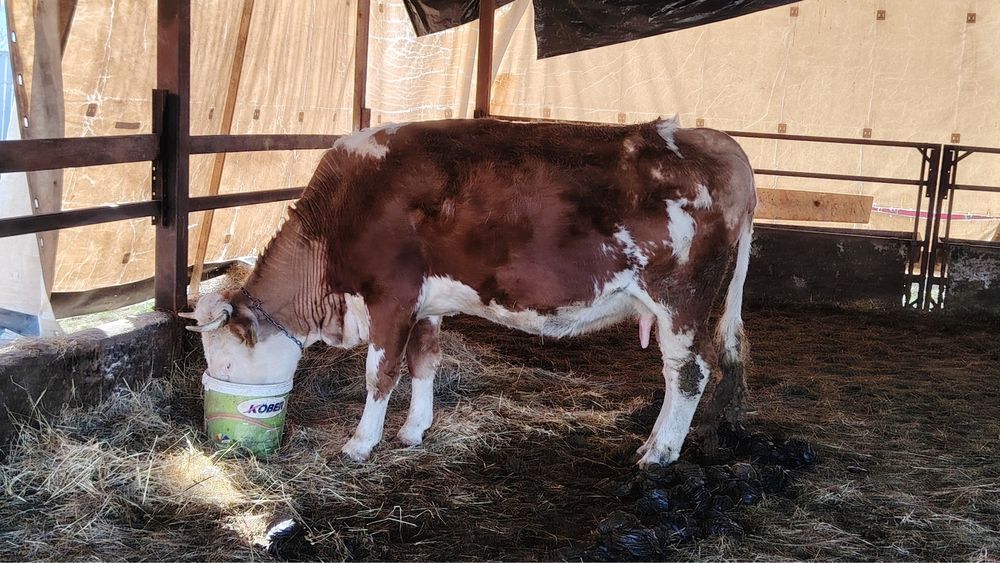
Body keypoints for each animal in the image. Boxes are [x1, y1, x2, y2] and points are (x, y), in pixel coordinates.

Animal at [181, 117, 756, 467]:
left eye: (224, 358)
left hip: (681, 299)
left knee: (688, 372)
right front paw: (414, 431)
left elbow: (380, 373)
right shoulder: (426, 304)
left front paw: (361, 443)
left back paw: (658, 453)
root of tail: (716, 142)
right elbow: (424, 362)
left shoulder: (391, 295)